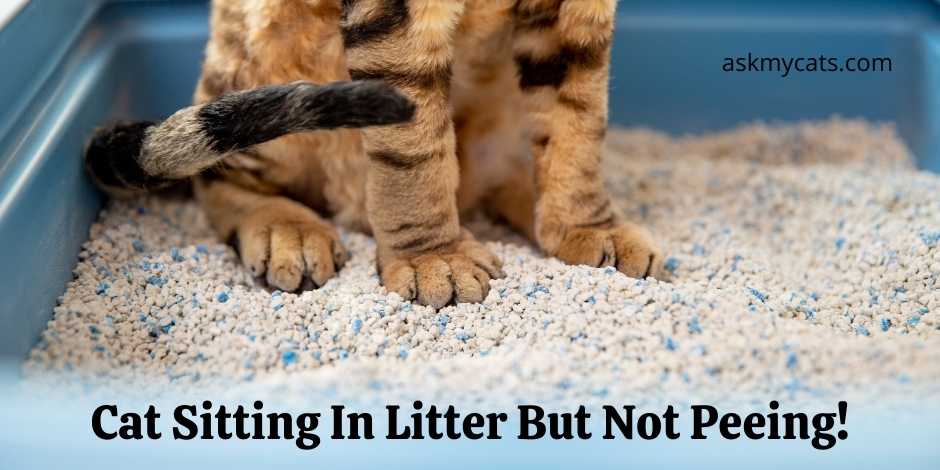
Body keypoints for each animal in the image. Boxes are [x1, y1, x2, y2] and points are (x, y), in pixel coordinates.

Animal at [86, 0, 660, 310]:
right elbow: (414, 150)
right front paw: (435, 259)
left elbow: (578, 118)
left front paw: (589, 229)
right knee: (221, 174)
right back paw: (285, 229)